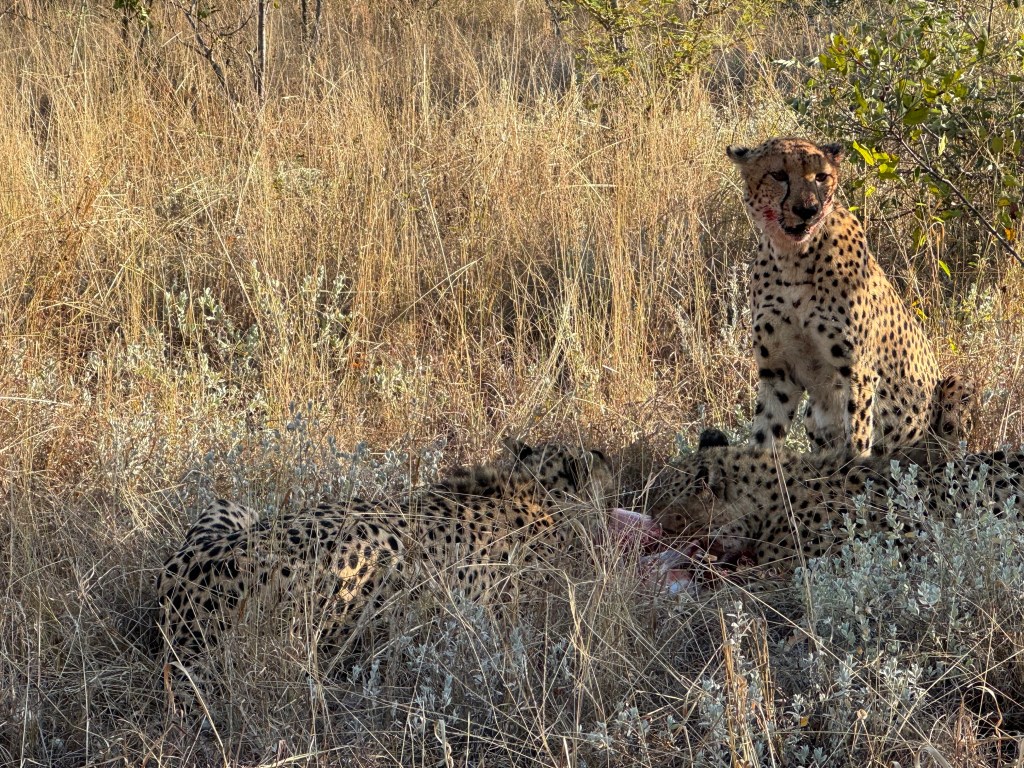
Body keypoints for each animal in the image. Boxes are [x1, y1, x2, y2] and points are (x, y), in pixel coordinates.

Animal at [727, 136, 958, 457]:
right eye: (778, 175)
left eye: (821, 177)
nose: (808, 210)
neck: (793, 258)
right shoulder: (777, 371)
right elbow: (764, 437)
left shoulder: (858, 371)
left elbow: (856, 442)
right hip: (812, 416)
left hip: (953, 386)